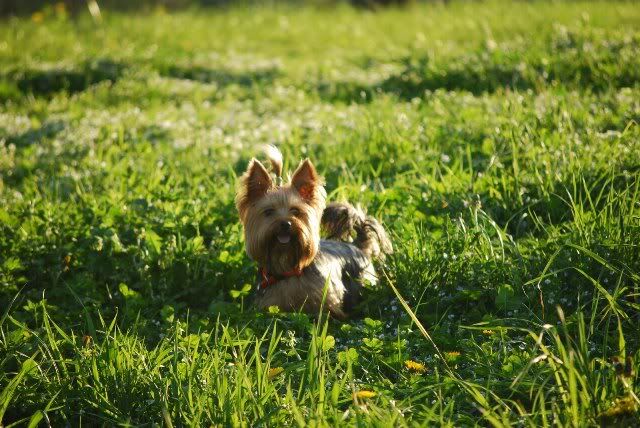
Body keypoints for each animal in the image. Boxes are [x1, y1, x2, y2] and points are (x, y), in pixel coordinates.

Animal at [235, 146, 392, 319]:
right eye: (268, 212)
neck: (287, 265)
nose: (285, 223)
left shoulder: (326, 301)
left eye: (295, 211)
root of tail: (357, 245)